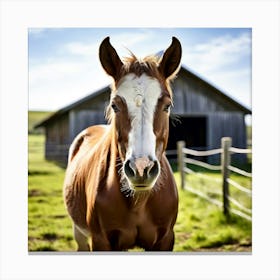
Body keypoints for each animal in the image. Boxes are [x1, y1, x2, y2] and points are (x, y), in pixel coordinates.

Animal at [63, 36, 182, 250]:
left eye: (167, 106)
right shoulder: (100, 240)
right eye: (114, 105)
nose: (141, 169)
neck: (139, 203)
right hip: (80, 234)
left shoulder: (165, 239)